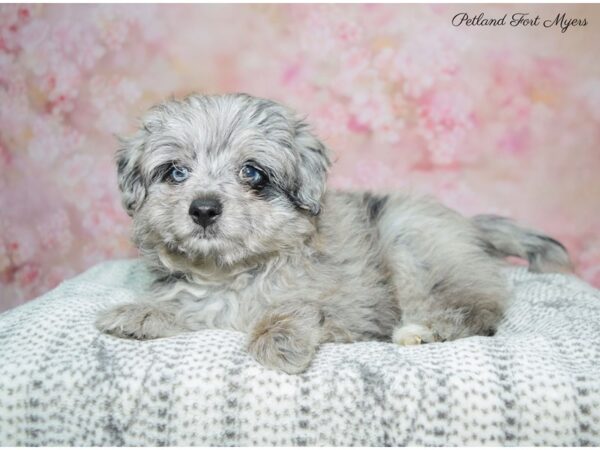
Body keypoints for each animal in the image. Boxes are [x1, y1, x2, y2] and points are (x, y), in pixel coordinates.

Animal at [96, 93, 576, 374]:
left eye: (252, 173)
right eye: (176, 172)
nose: (203, 210)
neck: (231, 273)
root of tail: (469, 226)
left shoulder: (351, 308)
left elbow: (299, 308)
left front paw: (280, 339)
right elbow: (188, 307)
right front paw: (140, 314)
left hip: (413, 246)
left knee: (478, 312)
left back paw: (424, 330)